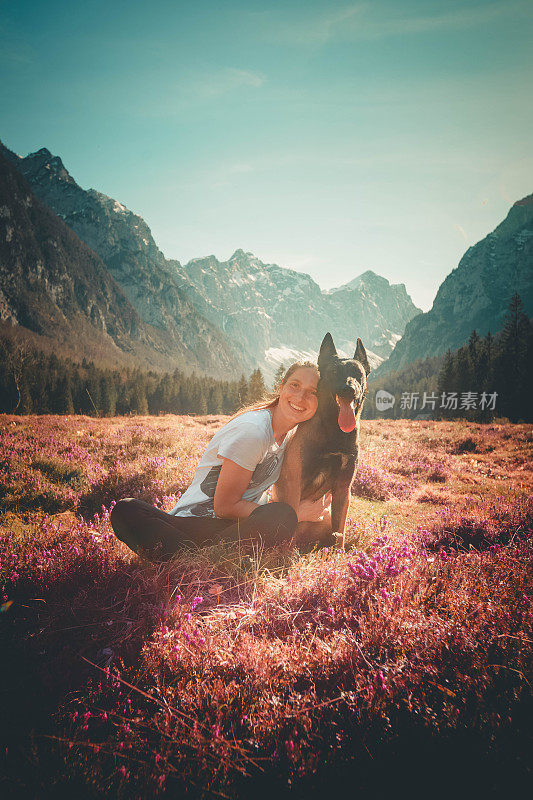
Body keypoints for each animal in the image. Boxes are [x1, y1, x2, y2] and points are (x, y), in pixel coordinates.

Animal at [278, 332, 370, 552]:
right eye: (335, 371)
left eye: (358, 373)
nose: (348, 389)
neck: (334, 431)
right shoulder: (295, 483)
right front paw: (285, 555)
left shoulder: (343, 489)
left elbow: (340, 530)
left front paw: (338, 554)